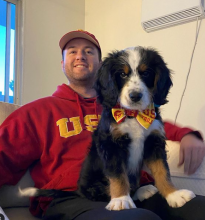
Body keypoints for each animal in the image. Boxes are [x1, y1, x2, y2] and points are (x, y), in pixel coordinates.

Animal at [20, 46, 195, 210]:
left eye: (146, 73)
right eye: (122, 74)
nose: (135, 96)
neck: (133, 114)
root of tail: (78, 191)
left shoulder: (154, 141)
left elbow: (162, 171)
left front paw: (174, 195)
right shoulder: (110, 144)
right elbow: (118, 175)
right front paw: (121, 200)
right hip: (94, 185)